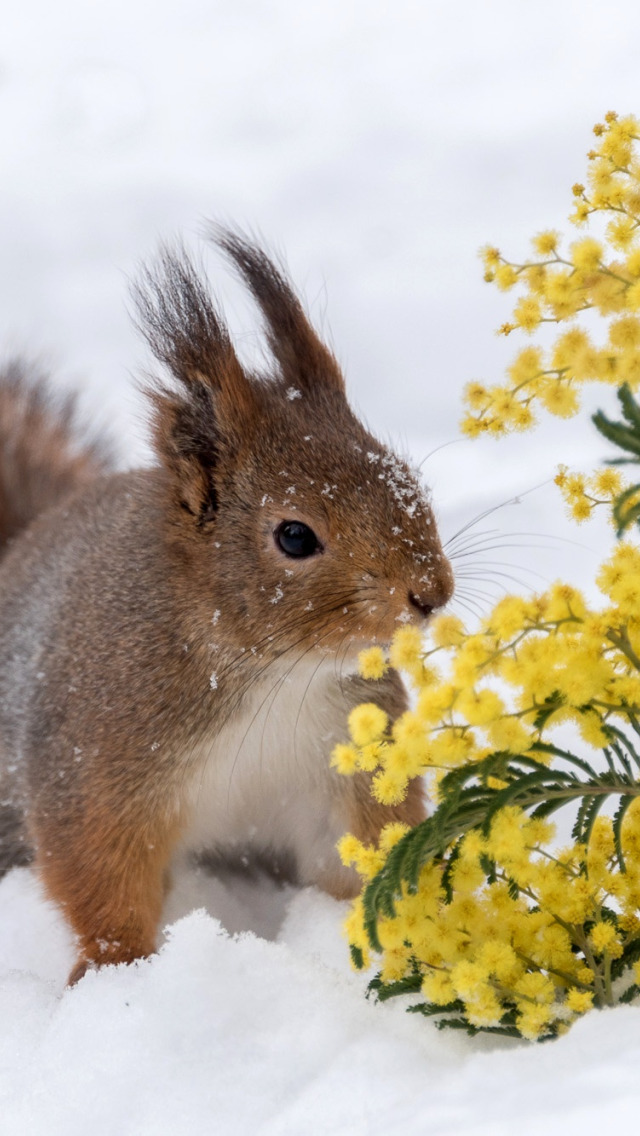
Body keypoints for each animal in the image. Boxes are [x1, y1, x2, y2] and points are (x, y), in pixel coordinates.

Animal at [0, 226, 452, 981]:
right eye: (294, 536)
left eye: (404, 476)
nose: (432, 593)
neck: (269, 673)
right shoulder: (95, 761)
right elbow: (98, 874)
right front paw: (116, 972)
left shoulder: (340, 765)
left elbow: (356, 849)